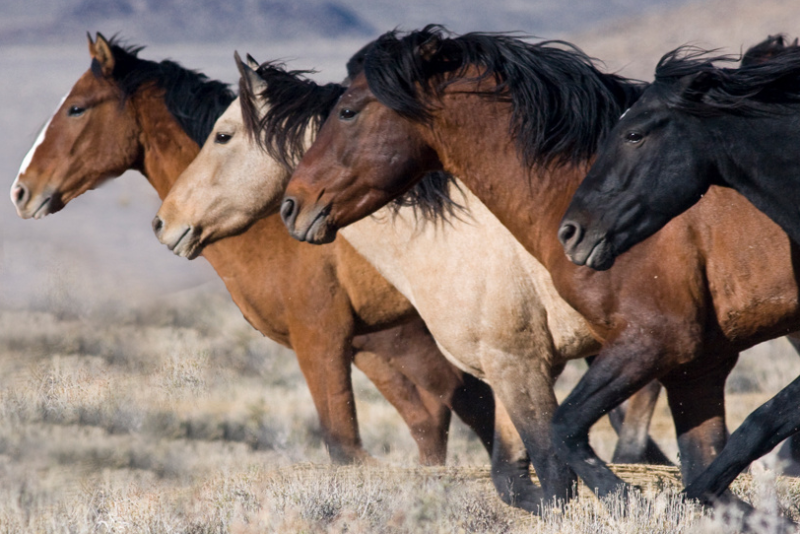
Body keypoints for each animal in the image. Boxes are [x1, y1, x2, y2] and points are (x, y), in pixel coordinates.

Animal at [10, 32, 499, 467]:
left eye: (76, 108)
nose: (20, 191)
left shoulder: (323, 339)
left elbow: (347, 445)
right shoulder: (378, 343)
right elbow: (430, 424)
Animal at [152, 54, 673, 512]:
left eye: (222, 135)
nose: (164, 222)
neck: (458, 234)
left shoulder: (520, 361)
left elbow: (553, 471)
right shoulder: (510, 368)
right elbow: (516, 480)